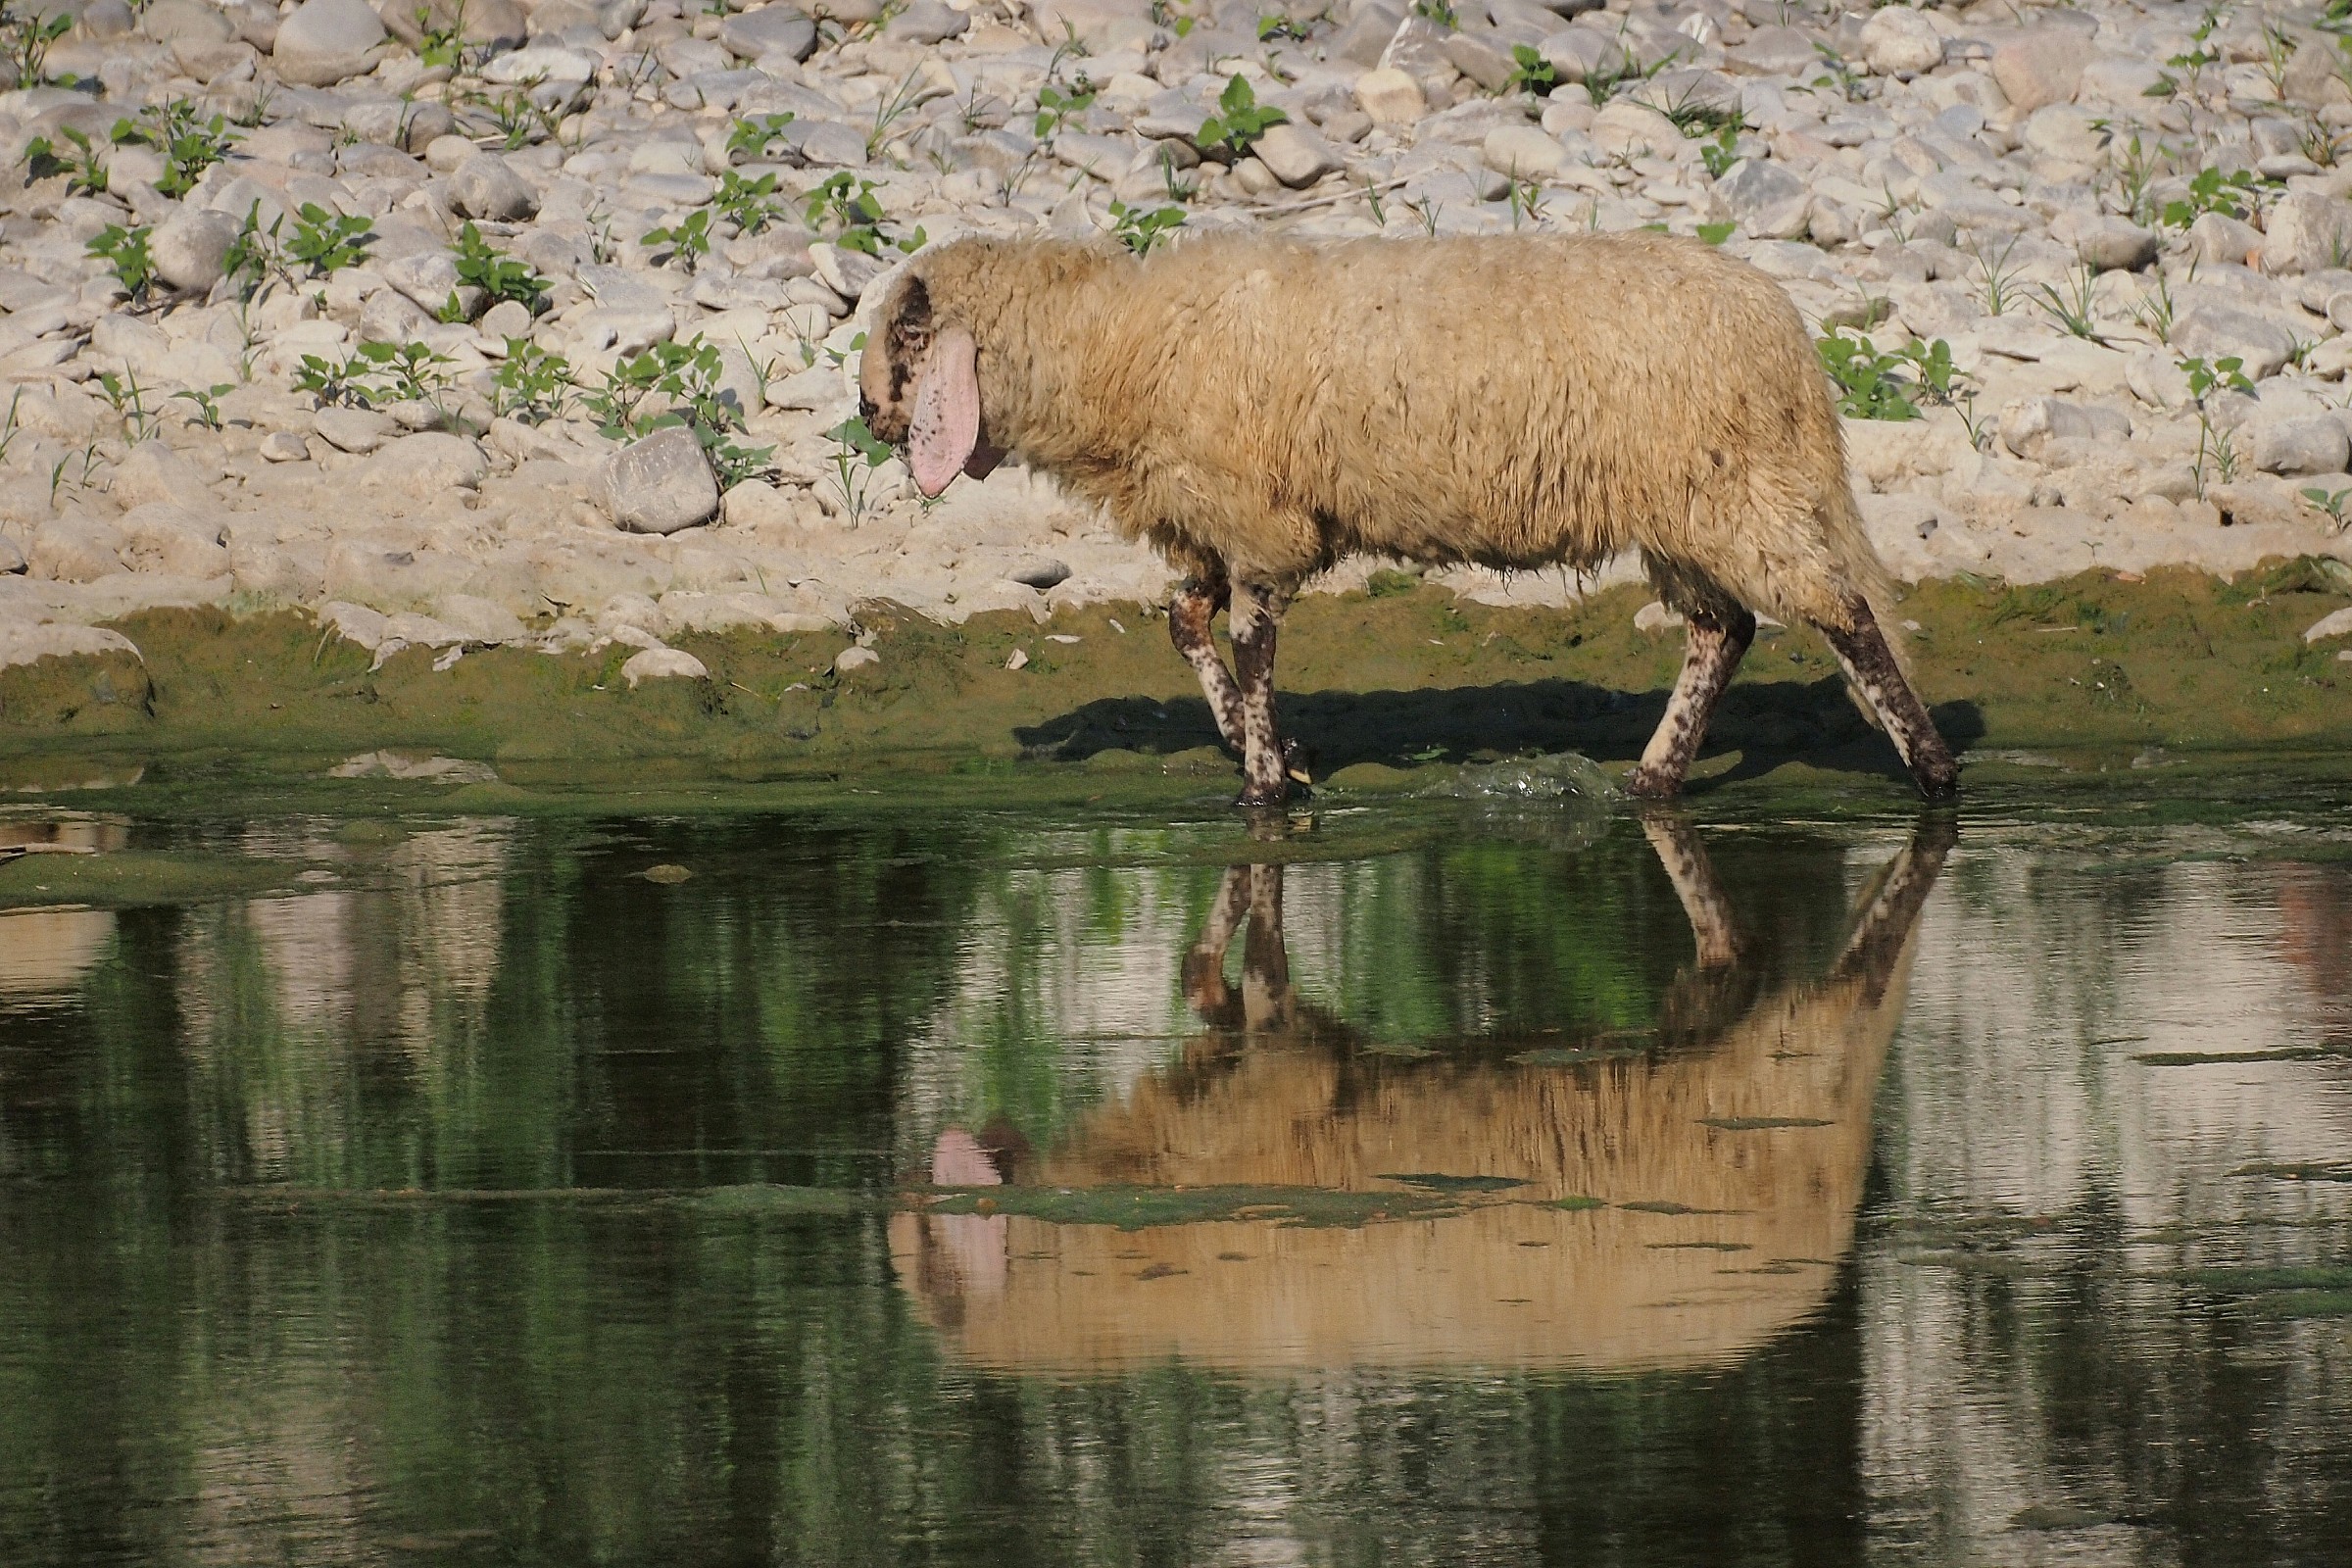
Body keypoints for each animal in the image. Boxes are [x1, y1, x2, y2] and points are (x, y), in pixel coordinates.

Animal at [858, 231, 1959, 804]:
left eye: (910, 333)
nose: (868, 413)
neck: (1118, 346)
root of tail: (1786, 334)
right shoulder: (1214, 522)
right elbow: (1186, 623)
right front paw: (1273, 753)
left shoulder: (1259, 523)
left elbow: (1253, 647)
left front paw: (1266, 784)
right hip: (1687, 507)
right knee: (1723, 630)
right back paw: (1654, 779)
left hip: (1729, 491)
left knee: (1840, 611)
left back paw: (1936, 773)